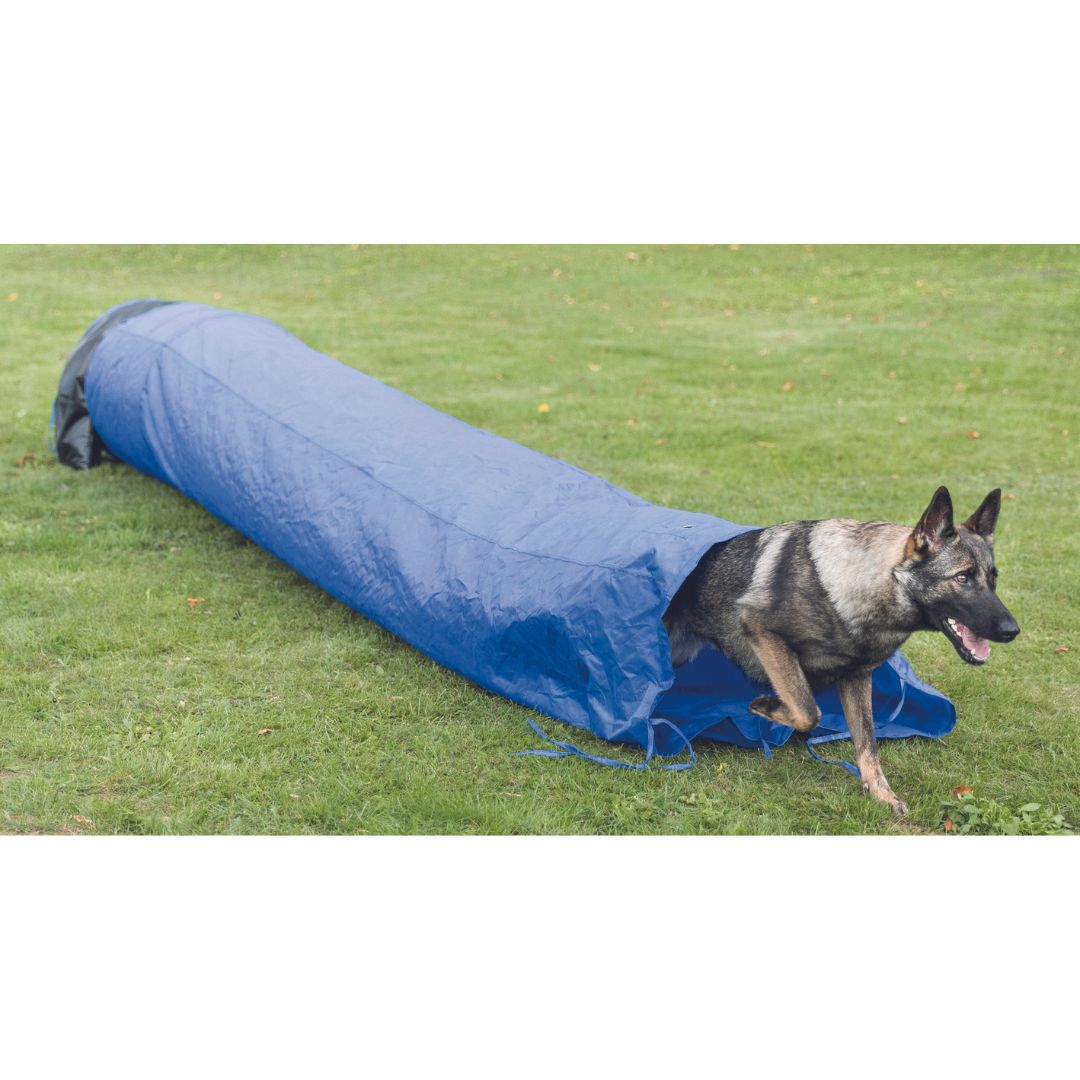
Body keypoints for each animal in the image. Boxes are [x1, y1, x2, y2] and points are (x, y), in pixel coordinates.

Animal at [665, 488, 1019, 812]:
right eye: (962, 578)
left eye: (993, 579)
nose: (1012, 630)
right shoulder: (762, 631)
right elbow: (807, 711)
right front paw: (765, 707)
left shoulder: (857, 678)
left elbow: (868, 743)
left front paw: (881, 793)